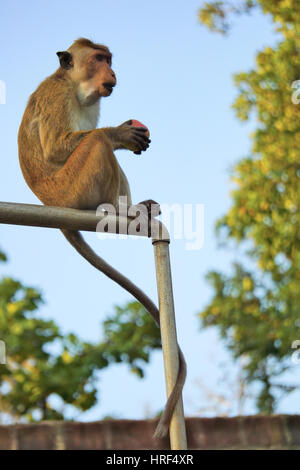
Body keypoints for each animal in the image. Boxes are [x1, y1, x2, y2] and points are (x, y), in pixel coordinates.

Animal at [17, 38, 186, 438]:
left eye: (109, 58)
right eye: (98, 58)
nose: (112, 71)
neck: (77, 87)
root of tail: (50, 204)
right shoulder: (58, 96)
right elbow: (59, 147)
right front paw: (122, 133)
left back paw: (135, 207)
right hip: (71, 190)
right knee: (95, 142)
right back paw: (120, 209)